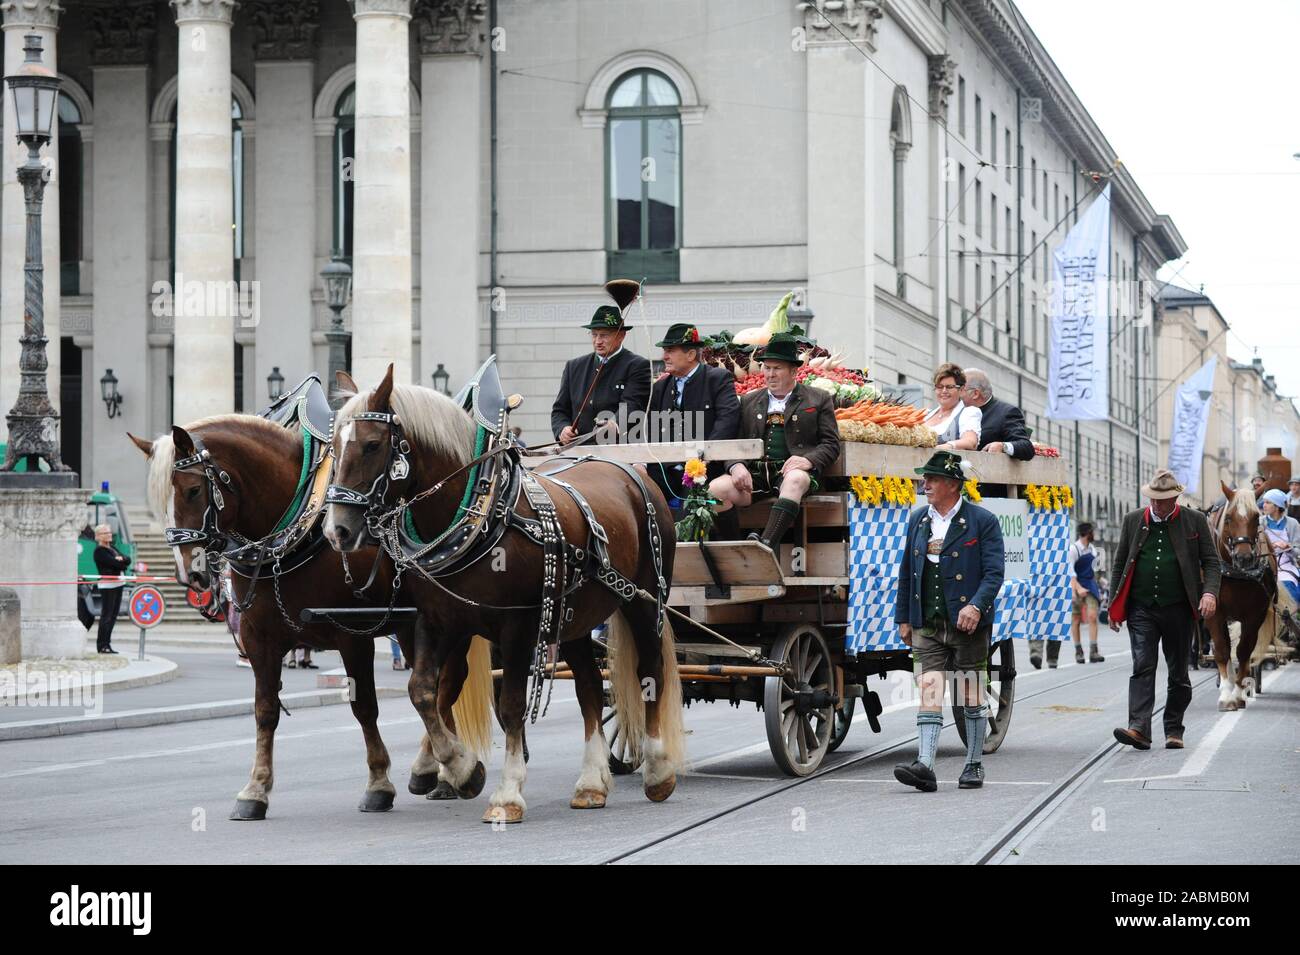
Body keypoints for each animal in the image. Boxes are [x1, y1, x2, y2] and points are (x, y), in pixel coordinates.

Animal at [130, 415, 491, 815]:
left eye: (193, 490)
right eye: (158, 500)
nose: (188, 573)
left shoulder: (352, 636)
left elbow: (364, 706)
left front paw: (379, 783)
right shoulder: (260, 639)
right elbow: (265, 710)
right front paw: (255, 790)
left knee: (446, 683)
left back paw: (443, 769)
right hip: (412, 628)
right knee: (438, 684)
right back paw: (438, 770)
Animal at [322, 363, 691, 821]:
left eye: (372, 444)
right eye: (334, 445)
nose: (336, 530)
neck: (483, 517)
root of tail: (631, 470)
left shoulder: (518, 626)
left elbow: (511, 705)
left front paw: (507, 793)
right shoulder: (439, 621)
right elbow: (422, 691)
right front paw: (461, 770)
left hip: (643, 600)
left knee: (650, 672)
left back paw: (658, 771)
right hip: (574, 616)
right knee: (589, 686)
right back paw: (591, 782)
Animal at [1206, 485, 1268, 712]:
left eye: (1257, 517)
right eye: (1229, 517)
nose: (1244, 558)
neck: (1235, 573)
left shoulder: (1254, 616)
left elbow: (1243, 651)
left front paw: (1239, 693)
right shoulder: (1213, 612)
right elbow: (1223, 650)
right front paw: (1226, 696)